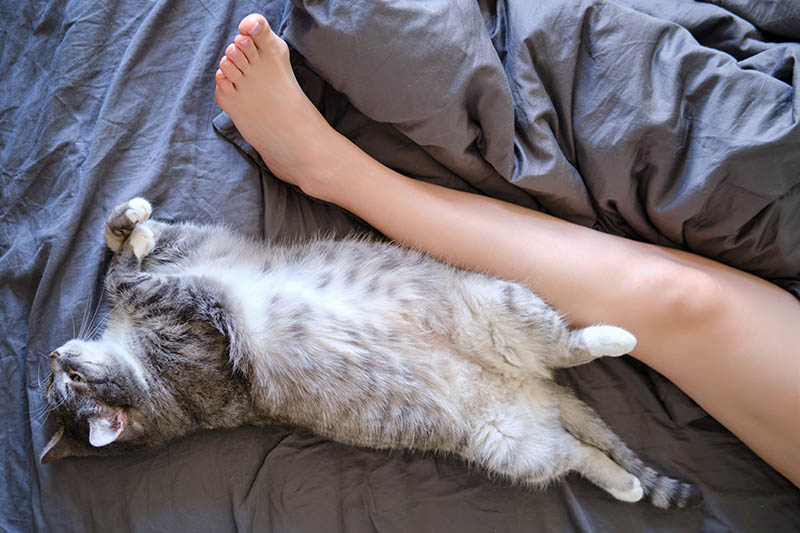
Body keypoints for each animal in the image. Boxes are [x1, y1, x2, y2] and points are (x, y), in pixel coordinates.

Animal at [40, 196, 700, 508]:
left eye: (65, 381)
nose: (51, 355)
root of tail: (532, 390)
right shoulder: (199, 322)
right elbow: (128, 277)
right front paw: (134, 249)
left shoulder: (193, 256)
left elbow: (120, 244)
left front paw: (134, 220)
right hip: (511, 444)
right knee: (575, 452)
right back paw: (625, 479)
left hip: (502, 306)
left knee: (566, 354)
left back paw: (613, 340)